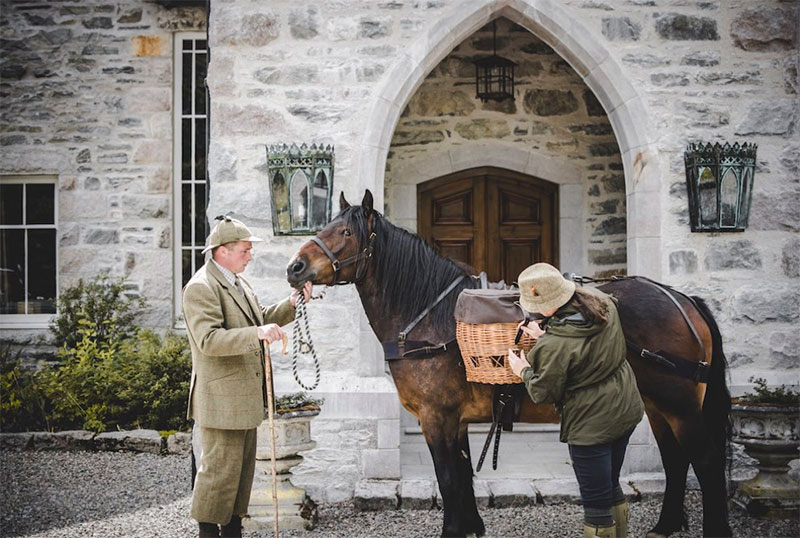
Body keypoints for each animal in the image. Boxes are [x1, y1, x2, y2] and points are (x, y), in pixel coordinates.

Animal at [288, 191, 732, 532]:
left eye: (345, 232)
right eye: (325, 226)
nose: (295, 267)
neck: (431, 317)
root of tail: (682, 299)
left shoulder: (436, 418)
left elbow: (449, 484)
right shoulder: (456, 421)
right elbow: (463, 482)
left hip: (680, 405)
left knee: (706, 463)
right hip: (658, 406)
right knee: (675, 460)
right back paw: (665, 525)